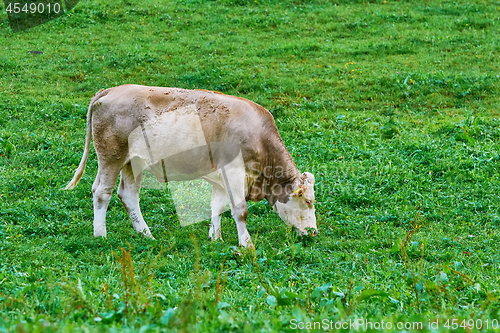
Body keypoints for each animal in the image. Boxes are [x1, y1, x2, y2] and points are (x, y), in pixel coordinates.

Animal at [65, 84, 316, 246]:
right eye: (308, 201)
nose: (314, 232)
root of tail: (111, 90)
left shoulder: (220, 176)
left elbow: (217, 207)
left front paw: (216, 238)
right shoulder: (233, 172)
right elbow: (239, 210)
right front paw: (246, 245)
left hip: (132, 162)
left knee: (128, 195)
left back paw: (146, 234)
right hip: (111, 157)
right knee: (102, 192)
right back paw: (101, 235)